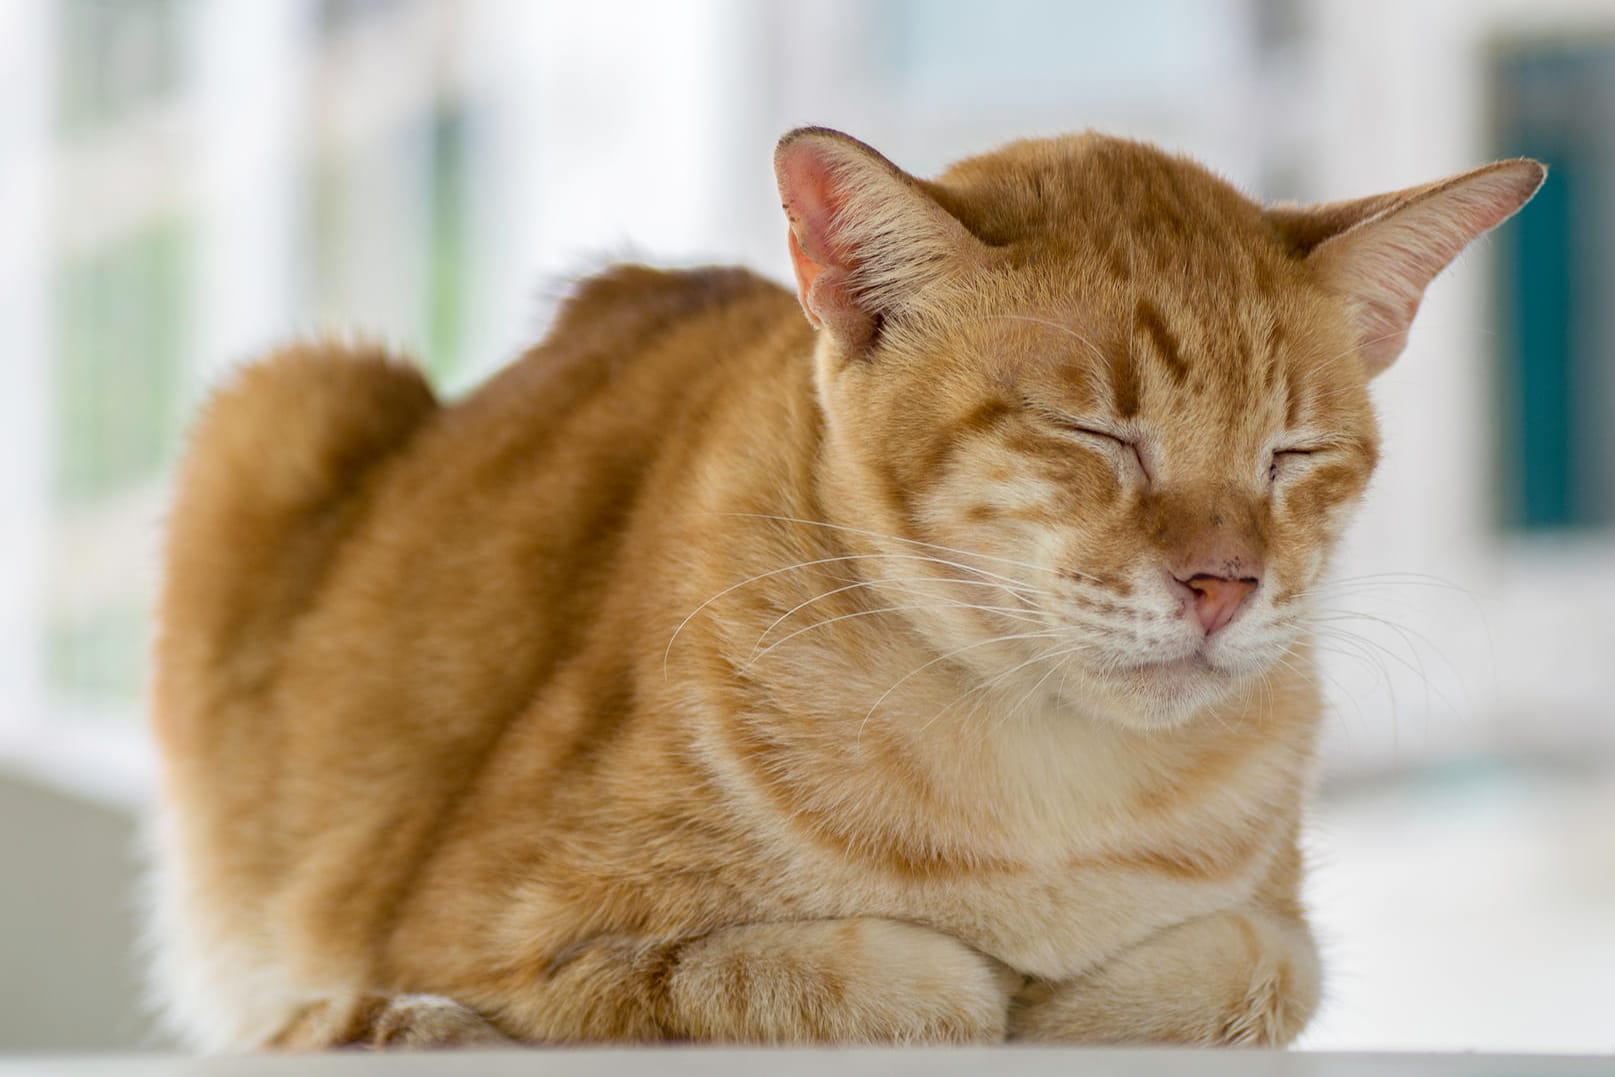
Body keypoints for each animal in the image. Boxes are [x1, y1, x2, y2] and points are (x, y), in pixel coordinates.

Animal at [148, 128, 1537, 1052]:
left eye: (1292, 455)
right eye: (1094, 434)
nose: (1223, 583)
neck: (1051, 794)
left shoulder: (1272, 932)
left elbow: (1245, 970)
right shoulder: (488, 932)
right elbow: (831, 983)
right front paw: (975, 992)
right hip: (280, 401)